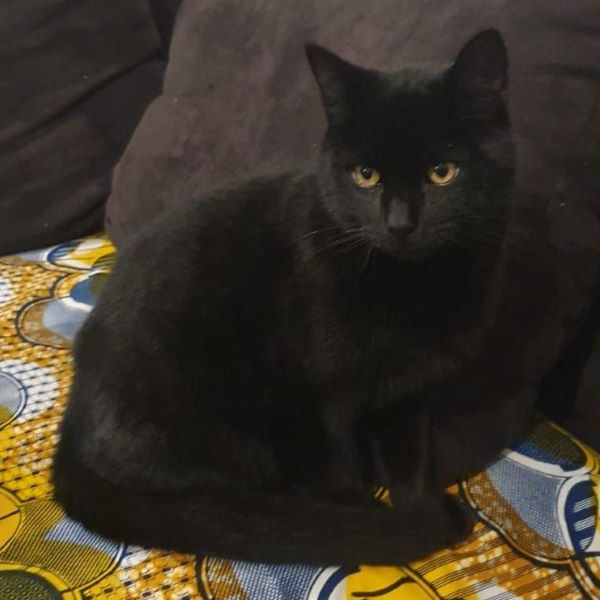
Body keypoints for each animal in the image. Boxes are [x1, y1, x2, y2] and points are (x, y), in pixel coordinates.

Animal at [53, 30, 558, 566]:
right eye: (365, 174)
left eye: (443, 171)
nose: (399, 223)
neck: (407, 288)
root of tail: (75, 411)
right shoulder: (310, 402)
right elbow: (337, 480)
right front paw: (376, 527)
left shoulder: (407, 392)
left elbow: (411, 458)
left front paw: (414, 505)